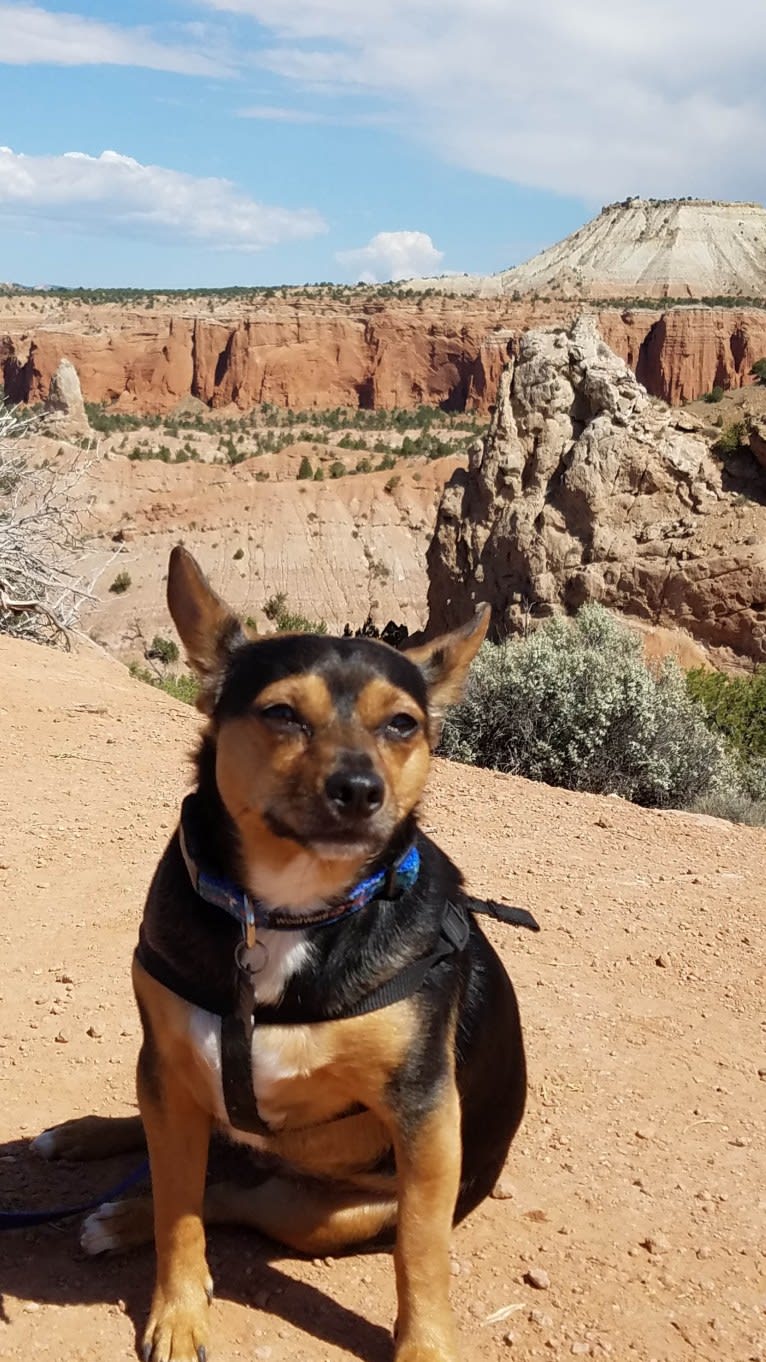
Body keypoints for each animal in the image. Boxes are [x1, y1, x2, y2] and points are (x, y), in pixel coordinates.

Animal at [35, 547, 523, 1356]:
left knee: (241, 1193)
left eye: (402, 724)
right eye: (283, 714)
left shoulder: (426, 1118)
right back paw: (86, 1147)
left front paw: (424, 1346)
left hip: (320, 1215)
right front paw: (178, 1313)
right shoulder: (168, 1064)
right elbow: (177, 1209)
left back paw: (121, 1211)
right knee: (192, 1165)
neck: (285, 913)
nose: (358, 789)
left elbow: (421, 1252)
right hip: (169, 1083)